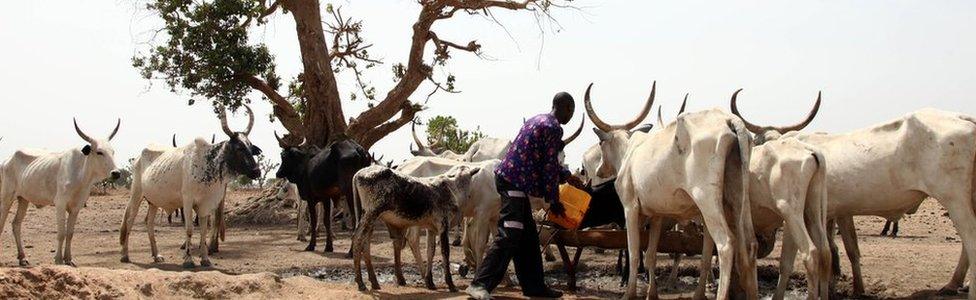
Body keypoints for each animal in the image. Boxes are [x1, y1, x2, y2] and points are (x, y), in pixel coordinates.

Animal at [0, 118, 122, 266]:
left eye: (113, 152)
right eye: (99, 152)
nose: (116, 173)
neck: (81, 176)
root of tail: (6, 160)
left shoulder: (76, 207)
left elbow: (70, 233)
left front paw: (68, 259)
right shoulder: (60, 204)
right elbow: (61, 233)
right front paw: (58, 259)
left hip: (23, 199)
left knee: (16, 224)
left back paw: (22, 257)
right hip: (7, 197)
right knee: (2, 223)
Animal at [119, 105, 262, 268]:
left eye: (250, 147)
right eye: (239, 147)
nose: (256, 171)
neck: (208, 162)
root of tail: (138, 157)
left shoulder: (205, 204)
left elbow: (204, 230)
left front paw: (205, 259)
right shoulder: (187, 201)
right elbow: (189, 229)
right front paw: (188, 259)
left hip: (153, 201)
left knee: (149, 224)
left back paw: (156, 255)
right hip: (136, 195)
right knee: (129, 221)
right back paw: (125, 255)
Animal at [350, 165, 480, 292]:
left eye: (468, 179)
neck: (453, 190)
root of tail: (360, 172)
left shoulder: (431, 229)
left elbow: (430, 251)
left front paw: (430, 282)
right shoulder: (443, 226)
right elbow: (445, 252)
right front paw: (450, 284)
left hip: (370, 218)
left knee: (365, 243)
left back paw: (374, 282)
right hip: (371, 214)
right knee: (358, 239)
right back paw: (361, 283)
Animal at [584, 82, 760, 300]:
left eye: (601, 143)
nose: (600, 170)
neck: (629, 153)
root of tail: (730, 120)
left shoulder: (630, 208)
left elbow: (633, 252)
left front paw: (629, 292)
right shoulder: (657, 215)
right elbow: (650, 255)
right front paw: (652, 293)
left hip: (707, 200)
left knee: (726, 244)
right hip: (738, 199)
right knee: (749, 244)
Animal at [736, 96, 976, 298]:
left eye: (758, 141)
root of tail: (964, 118)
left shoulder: (819, 215)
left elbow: (827, 251)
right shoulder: (838, 213)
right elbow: (844, 249)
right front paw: (852, 288)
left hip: (954, 199)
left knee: (971, 239)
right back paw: (954, 284)